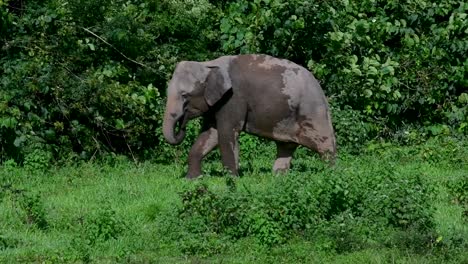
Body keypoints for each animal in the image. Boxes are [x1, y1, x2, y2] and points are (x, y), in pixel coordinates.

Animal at [162, 54, 336, 178]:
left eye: (185, 95)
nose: (182, 125)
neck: (208, 64)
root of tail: (320, 87)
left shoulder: (234, 98)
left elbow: (226, 133)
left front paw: (232, 180)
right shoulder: (216, 104)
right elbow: (210, 134)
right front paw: (193, 179)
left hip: (312, 112)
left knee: (325, 145)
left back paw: (331, 175)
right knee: (286, 146)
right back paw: (278, 178)